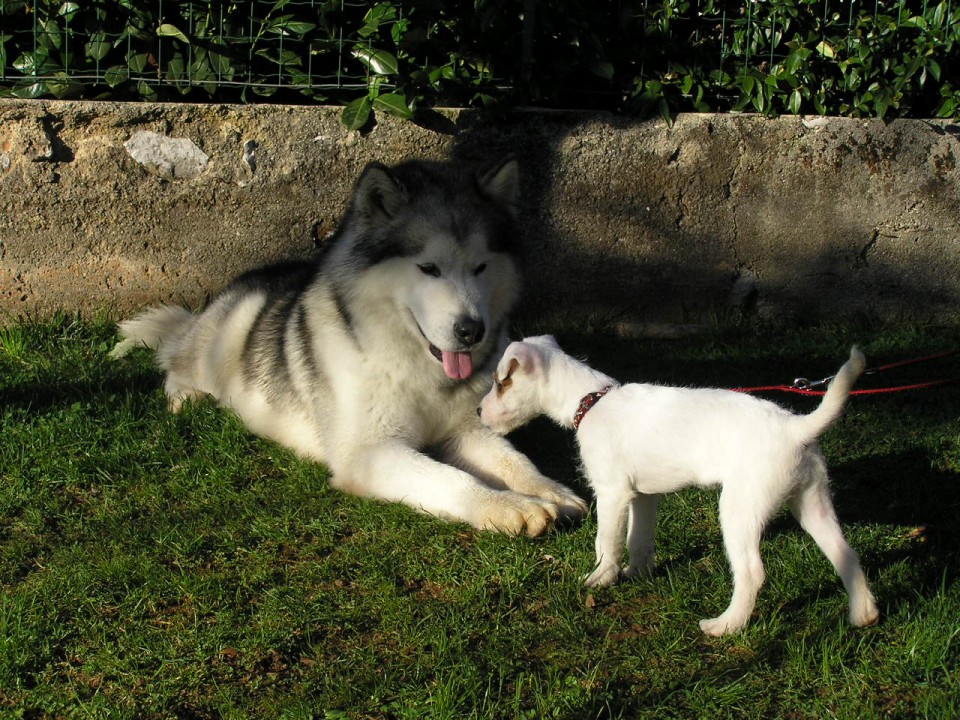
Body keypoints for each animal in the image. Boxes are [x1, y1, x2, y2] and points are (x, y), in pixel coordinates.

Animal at [114, 160, 592, 536]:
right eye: (428, 268)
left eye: (480, 267)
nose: (471, 330)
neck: (412, 365)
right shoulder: (369, 453)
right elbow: (451, 479)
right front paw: (511, 506)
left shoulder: (464, 429)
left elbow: (513, 461)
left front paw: (550, 491)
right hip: (225, 336)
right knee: (175, 360)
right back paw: (185, 394)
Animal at [480, 338, 876, 636]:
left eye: (502, 383)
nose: (479, 412)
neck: (591, 399)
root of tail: (796, 429)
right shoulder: (643, 497)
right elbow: (637, 540)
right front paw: (636, 574)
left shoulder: (611, 493)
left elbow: (606, 543)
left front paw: (600, 579)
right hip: (812, 503)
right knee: (845, 554)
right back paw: (863, 614)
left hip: (739, 511)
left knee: (752, 573)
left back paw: (726, 625)